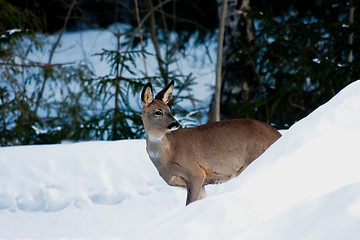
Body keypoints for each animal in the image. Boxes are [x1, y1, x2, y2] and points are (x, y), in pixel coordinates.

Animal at [141, 80, 282, 204]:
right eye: (158, 112)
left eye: (169, 109)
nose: (175, 123)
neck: (169, 155)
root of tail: (278, 134)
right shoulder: (199, 183)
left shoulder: (196, 173)